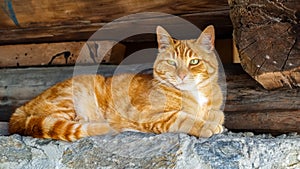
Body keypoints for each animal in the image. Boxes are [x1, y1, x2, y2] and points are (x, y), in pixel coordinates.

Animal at [8, 25, 223, 141]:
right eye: (172, 63)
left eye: (194, 62)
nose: (182, 75)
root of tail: (21, 107)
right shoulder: (151, 115)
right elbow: (184, 118)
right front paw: (207, 125)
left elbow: (217, 114)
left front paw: (212, 118)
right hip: (72, 96)